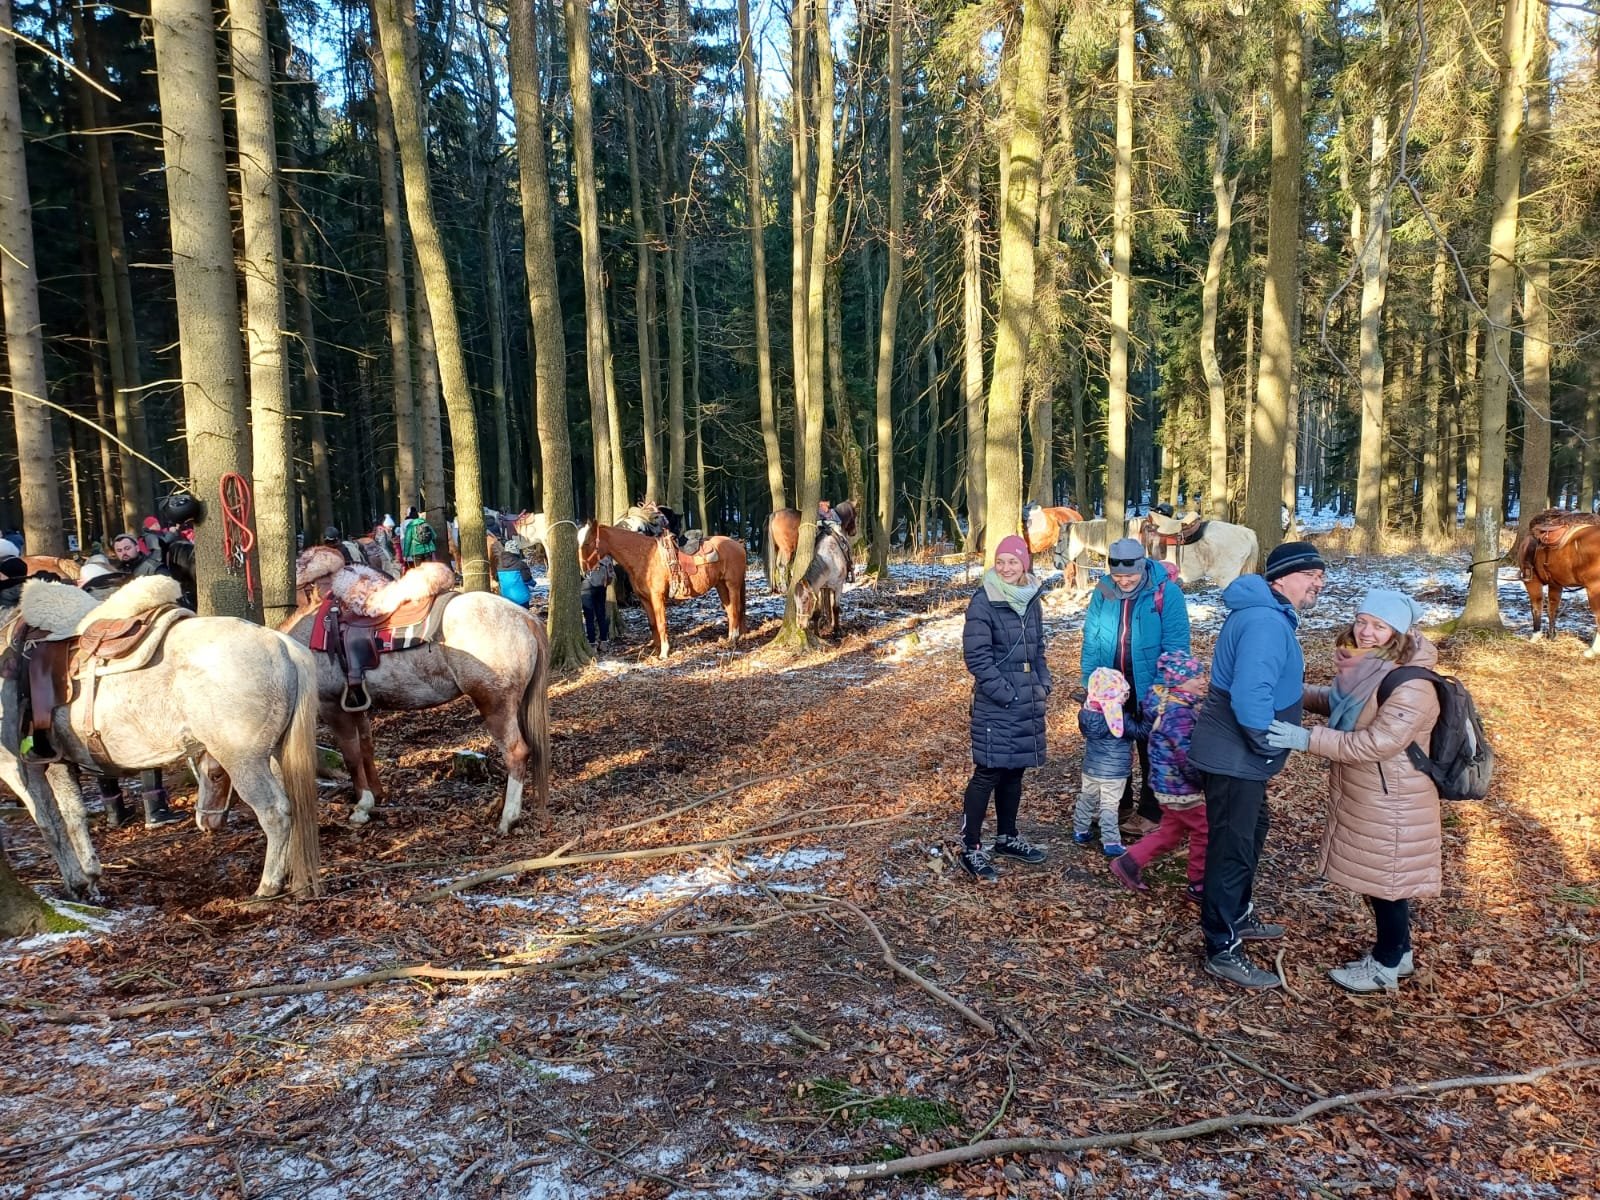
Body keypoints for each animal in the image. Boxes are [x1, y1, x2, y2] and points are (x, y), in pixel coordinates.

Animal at [0, 577, 322, 901]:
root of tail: (281, 644)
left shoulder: (18, 766)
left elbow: (48, 822)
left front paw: (76, 883)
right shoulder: (58, 762)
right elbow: (73, 815)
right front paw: (88, 877)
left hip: (243, 760)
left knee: (275, 812)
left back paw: (268, 885)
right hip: (274, 753)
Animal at [284, 548, 551, 831]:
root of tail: (524, 617)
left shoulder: (332, 705)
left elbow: (351, 754)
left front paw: (362, 806)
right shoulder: (357, 703)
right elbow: (366, 747)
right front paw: (376, 795)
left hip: (495, 704)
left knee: (516, 752)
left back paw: (508, 817)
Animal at [579, 521, 746, 659]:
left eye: (587, 543)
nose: (583, 572)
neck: (645, 557)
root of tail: (738, 545)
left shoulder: (657, 597)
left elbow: (661, 623)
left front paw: (664, 652)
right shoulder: (645, 599)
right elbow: (652, 624)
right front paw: (656, 649)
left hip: (733, 585)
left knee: (735, 609)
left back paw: (734, 639)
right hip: (721, 585)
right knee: (730, 609)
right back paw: (730, 638)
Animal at [1514, 510, 1600, 658]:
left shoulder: (1532, 582)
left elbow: (1536, 607)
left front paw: (1535, 636)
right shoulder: (1555, 584)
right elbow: (1552, 609)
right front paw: (1551, 635)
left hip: (1594, 589)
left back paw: (1592, 651)